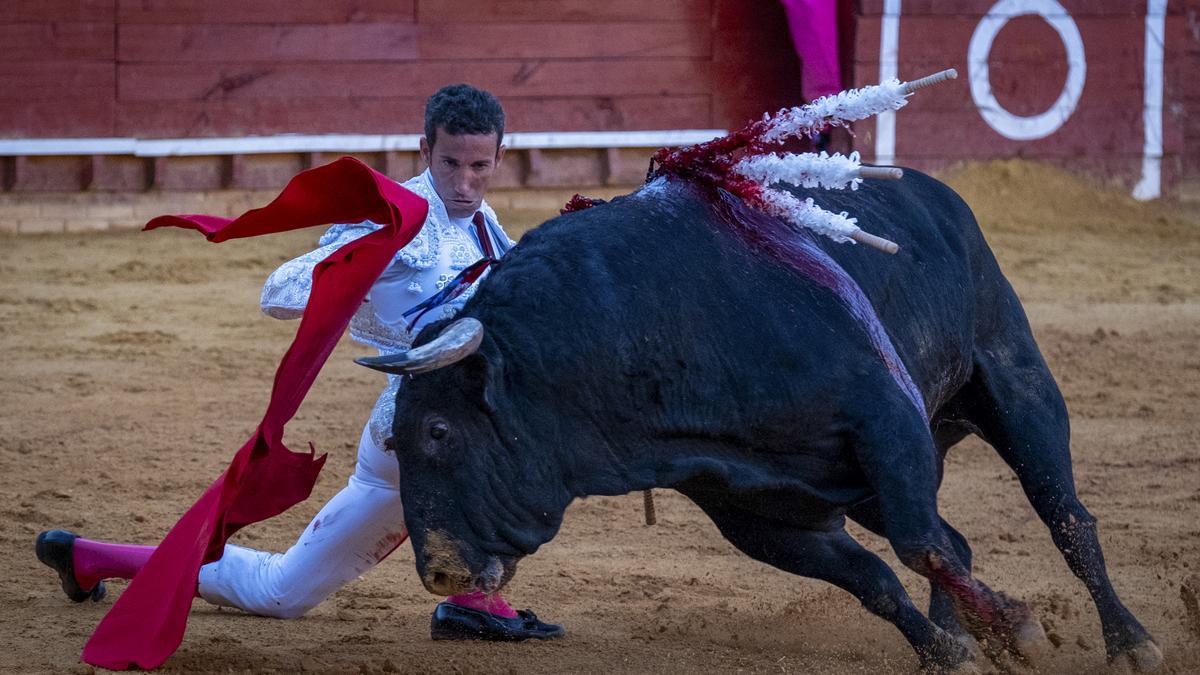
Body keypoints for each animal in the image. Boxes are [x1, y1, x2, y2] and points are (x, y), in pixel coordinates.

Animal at [357, 170, 1161, 667]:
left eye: (438, 432)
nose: (439, 569)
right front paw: (948, 649)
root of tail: (937, 195)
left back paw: (1130, 641)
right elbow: (876, 578)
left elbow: (919, 546)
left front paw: (1019, 630)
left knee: (1065, 517)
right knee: (957, 538)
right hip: (861, 486)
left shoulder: (884, 419)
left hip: (1014, 380)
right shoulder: (757, 509)